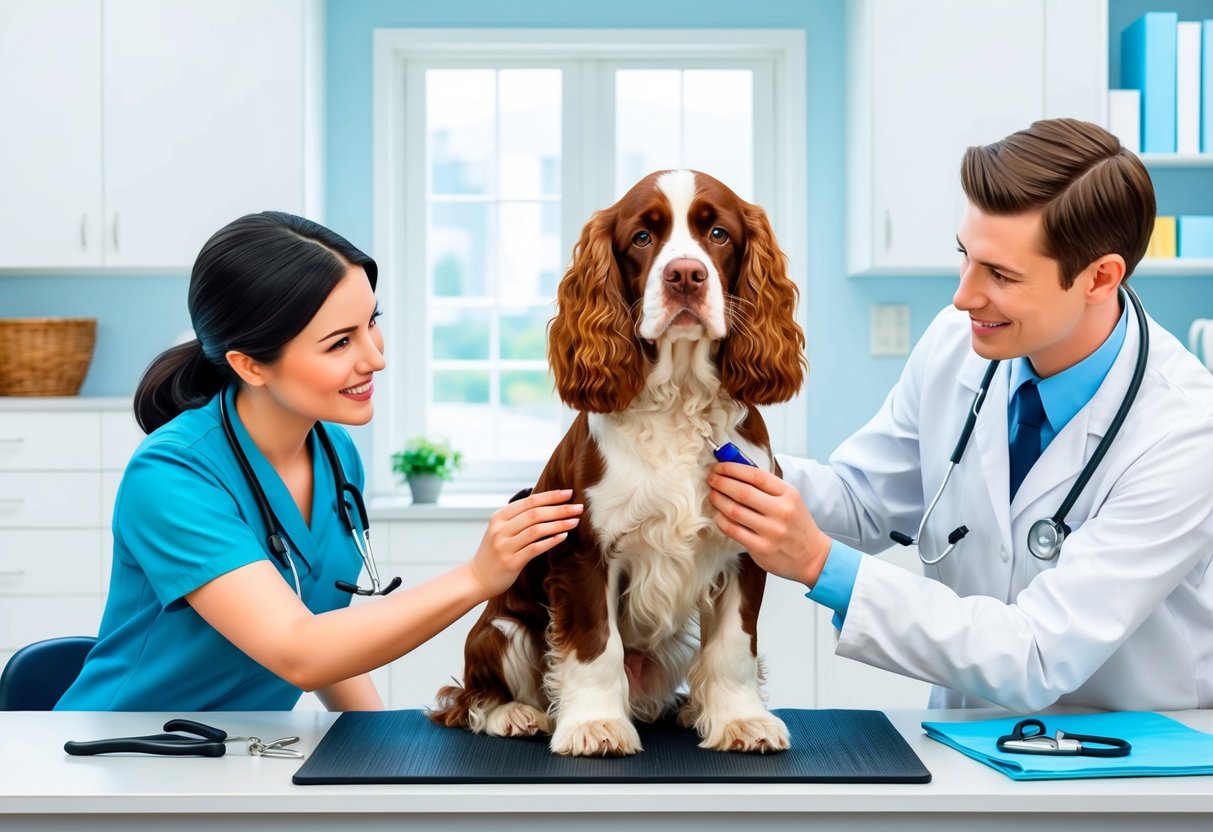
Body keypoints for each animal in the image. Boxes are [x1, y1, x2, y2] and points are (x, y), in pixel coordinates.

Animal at [429, 169, 805, 756]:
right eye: (642, 238)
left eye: (718, 233)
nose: (685, 275)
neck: (679, 398)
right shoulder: (585, 550)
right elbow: (593, 648)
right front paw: (594, 726)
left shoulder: (746, 543)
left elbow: (733, 646)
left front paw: (742, 720)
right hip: (500, 630)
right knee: (470, 697)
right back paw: (516, 714)